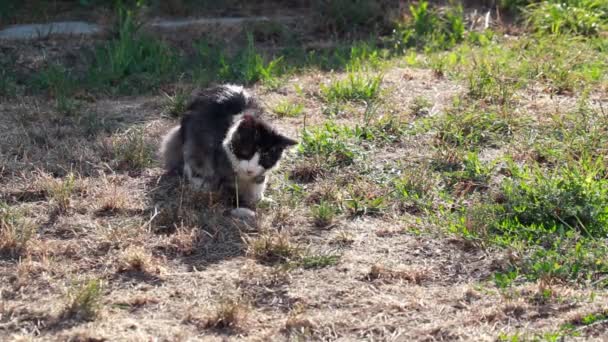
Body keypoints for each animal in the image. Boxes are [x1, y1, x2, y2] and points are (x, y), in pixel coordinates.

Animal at [159, 84, 296, 218]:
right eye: (246, 152)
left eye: (265, 158)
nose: (250, 170)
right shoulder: (222, 172)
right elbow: (229, 194)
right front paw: (241, 209)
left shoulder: (260, 175)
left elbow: (257, 189)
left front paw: (260, 200)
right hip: (193, 147)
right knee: (191, 168)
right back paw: (201, 185)